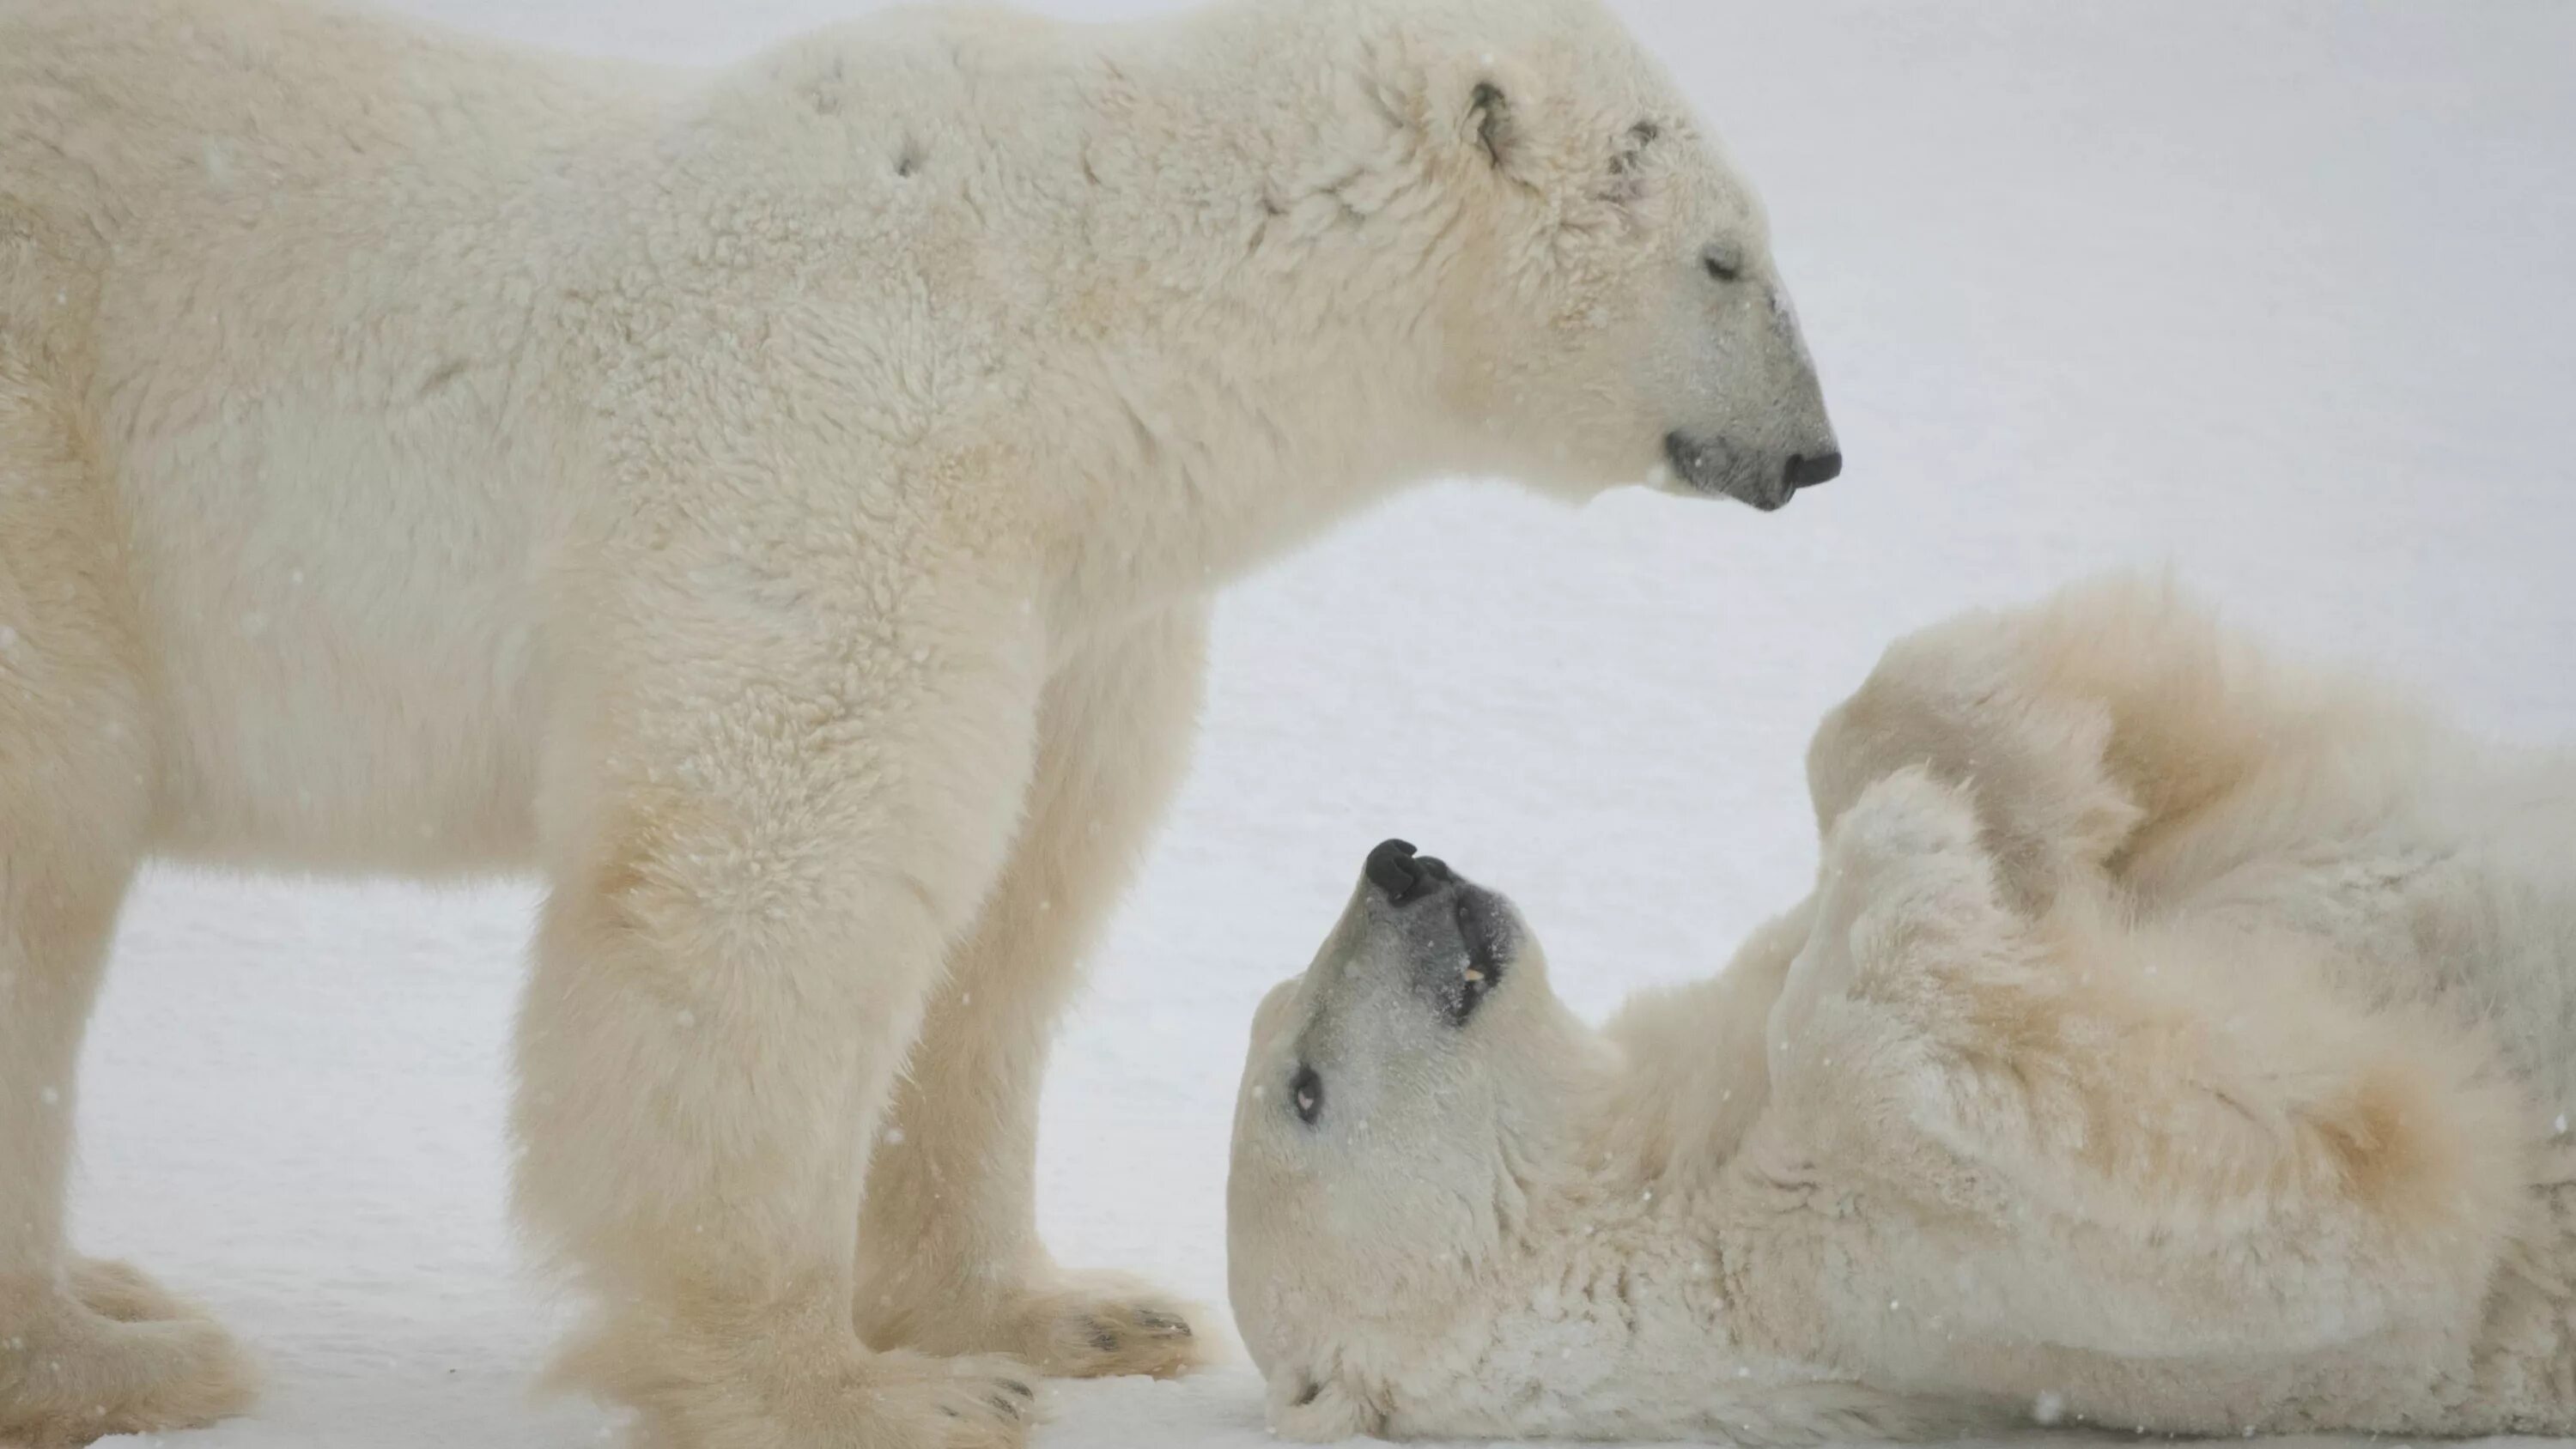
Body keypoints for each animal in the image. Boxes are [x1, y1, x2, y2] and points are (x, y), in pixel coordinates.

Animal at [0, 0, 1834, 1441]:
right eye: (1726, 257)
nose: (1817, 451)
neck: (1082, 302)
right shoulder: (841, 446)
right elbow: (775, 878)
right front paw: (856, 1388)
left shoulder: (1077, 592)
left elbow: (1018, 901)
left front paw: (1072, 1312)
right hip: (55, 482)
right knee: (54, 840)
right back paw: (124, 1354)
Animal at [1221, 579, 2576, 1441]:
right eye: (1305, 1089)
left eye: (1280, 1013)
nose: (1399, 863)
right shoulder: (1861, 1277)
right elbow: (2334, 1188)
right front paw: (1912, 841)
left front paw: (1993, 773)